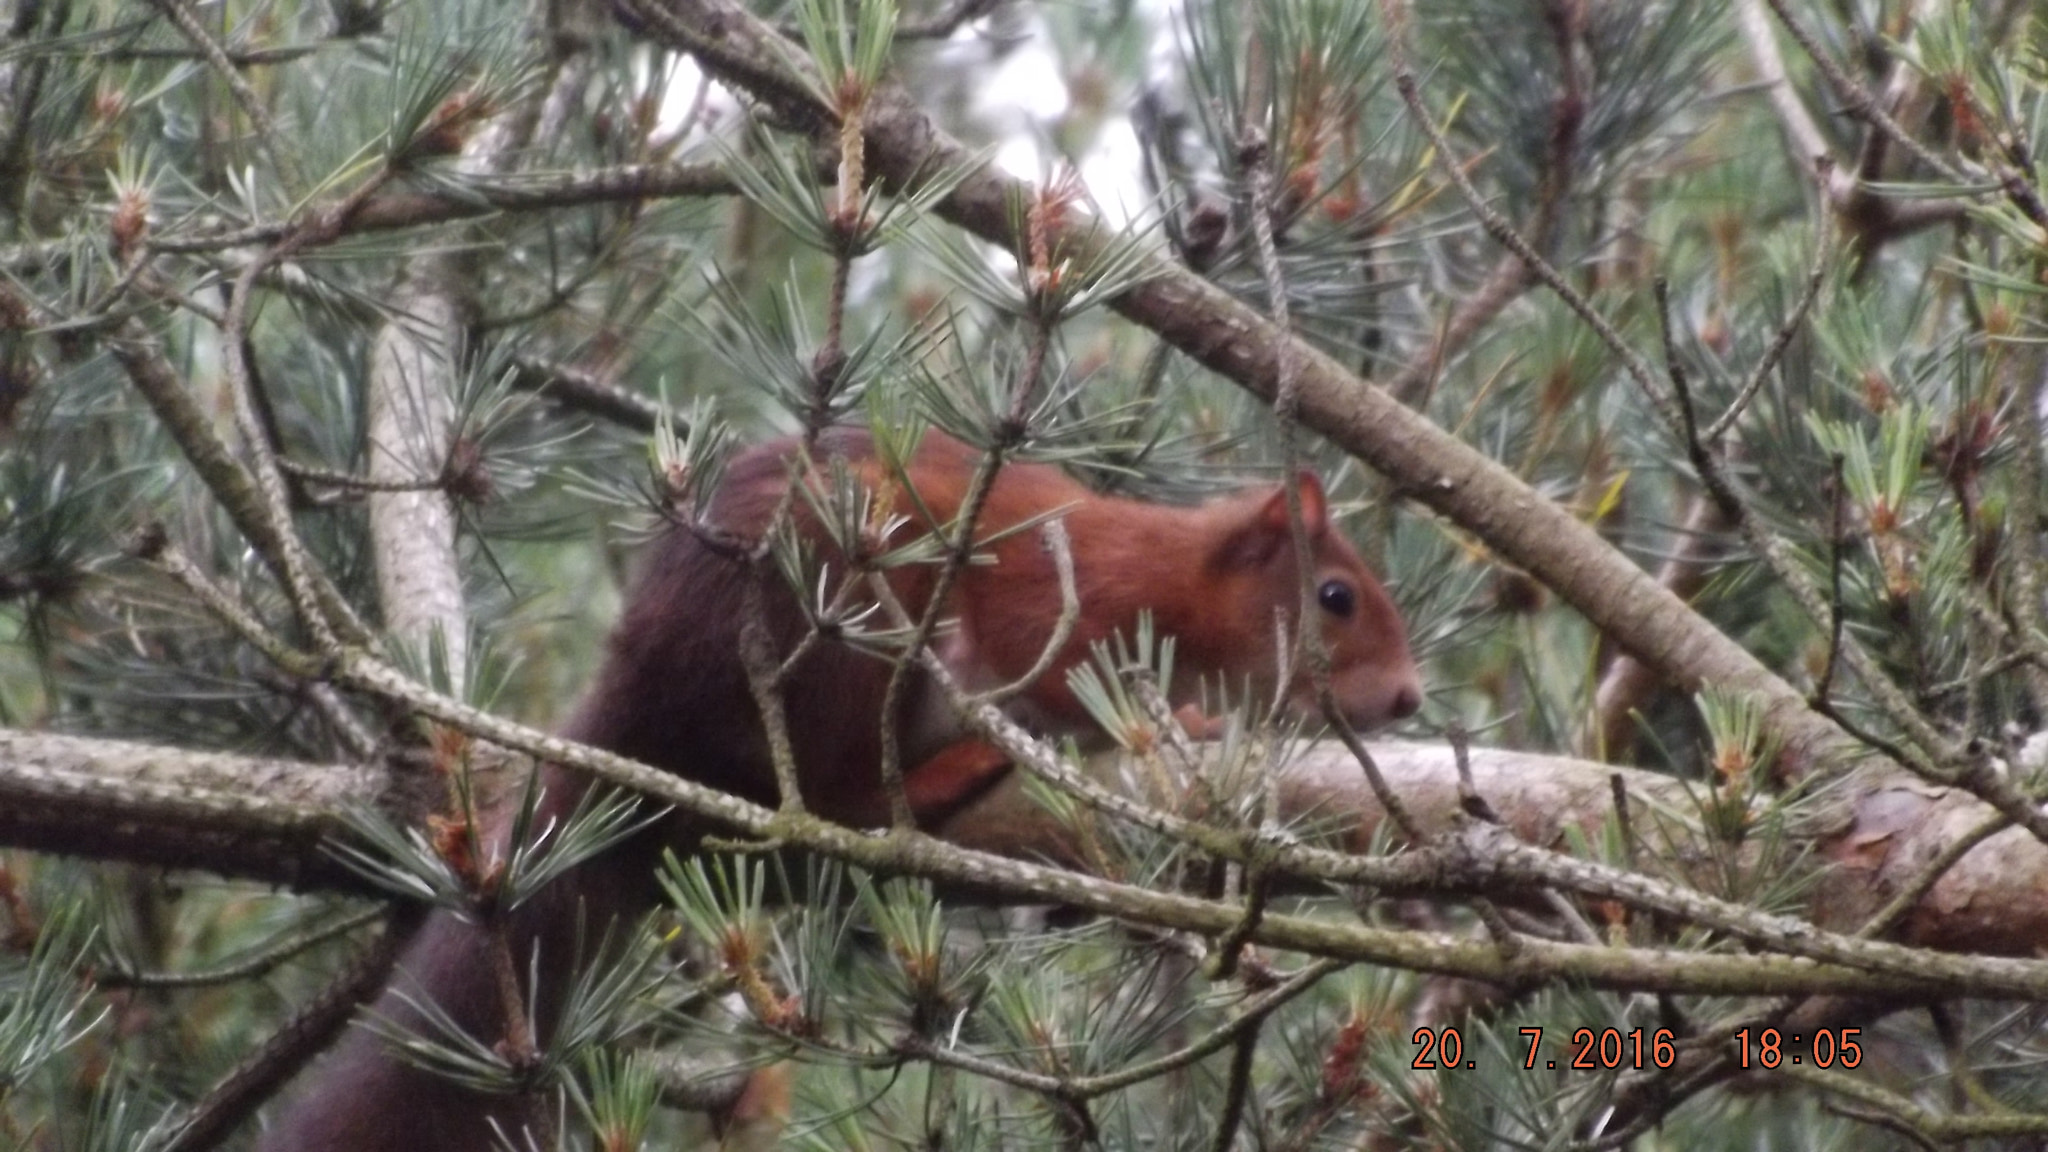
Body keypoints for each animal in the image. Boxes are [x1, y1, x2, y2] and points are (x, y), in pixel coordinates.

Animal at [256, 426, 1417, 1139]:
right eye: (1336, 596)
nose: (1409, 700)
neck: (1174, 583)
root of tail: (642, 705)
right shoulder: (1055, 603)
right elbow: (1062, 679)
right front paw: (1185, 717)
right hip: (845, 628)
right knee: (847, 803)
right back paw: (961, 766)